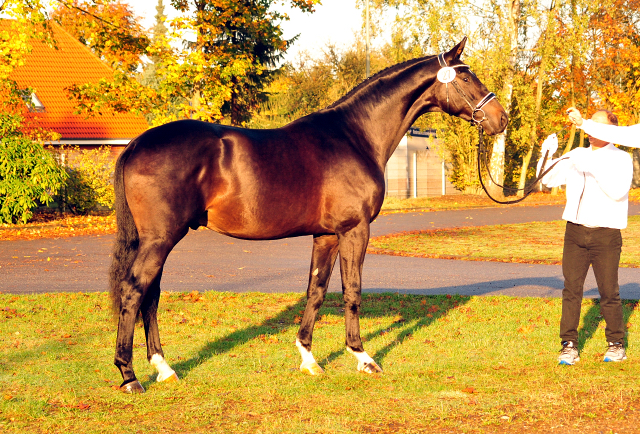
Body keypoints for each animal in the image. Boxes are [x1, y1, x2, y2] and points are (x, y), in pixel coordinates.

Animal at [111, 35, 510, 392]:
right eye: (465, 78)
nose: (501, 118)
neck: (355, 137)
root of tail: (135, 144)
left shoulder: (327, 235)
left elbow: (315, 290)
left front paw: (308, 359)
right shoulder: (355, 230)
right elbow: (352, 290)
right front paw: (363, 358)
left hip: (159, 240)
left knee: (150, 295)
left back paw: (164, 368)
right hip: (161, 238)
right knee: (134, 291)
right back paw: (130, 377)